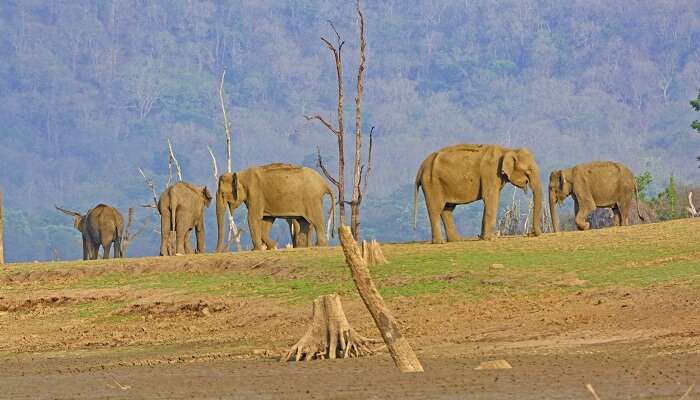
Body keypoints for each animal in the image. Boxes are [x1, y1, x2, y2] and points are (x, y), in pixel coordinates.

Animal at [412, 145, 544, 242]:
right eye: (528, 171)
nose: (530, 233)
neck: (507, 150)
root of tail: (421, 167)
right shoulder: (491, 173)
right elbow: (491, 199)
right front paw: (491, 238)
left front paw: (482, 237)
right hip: (432, 183)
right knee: (435, 209)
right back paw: (439, 242)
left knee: (447, 209)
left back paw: (457, 240)